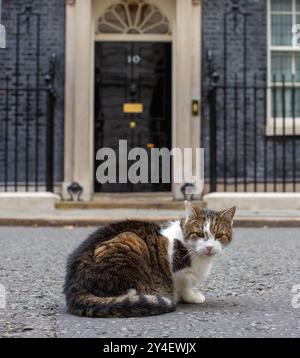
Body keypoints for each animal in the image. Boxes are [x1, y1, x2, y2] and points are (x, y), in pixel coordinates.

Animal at [64, 200, 236, 318]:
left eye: (219, 235)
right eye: (199, 234)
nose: (209, 247)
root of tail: (73, 285)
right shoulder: (178, 273)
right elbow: (184, 284)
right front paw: (191, 296)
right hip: (130, 240)